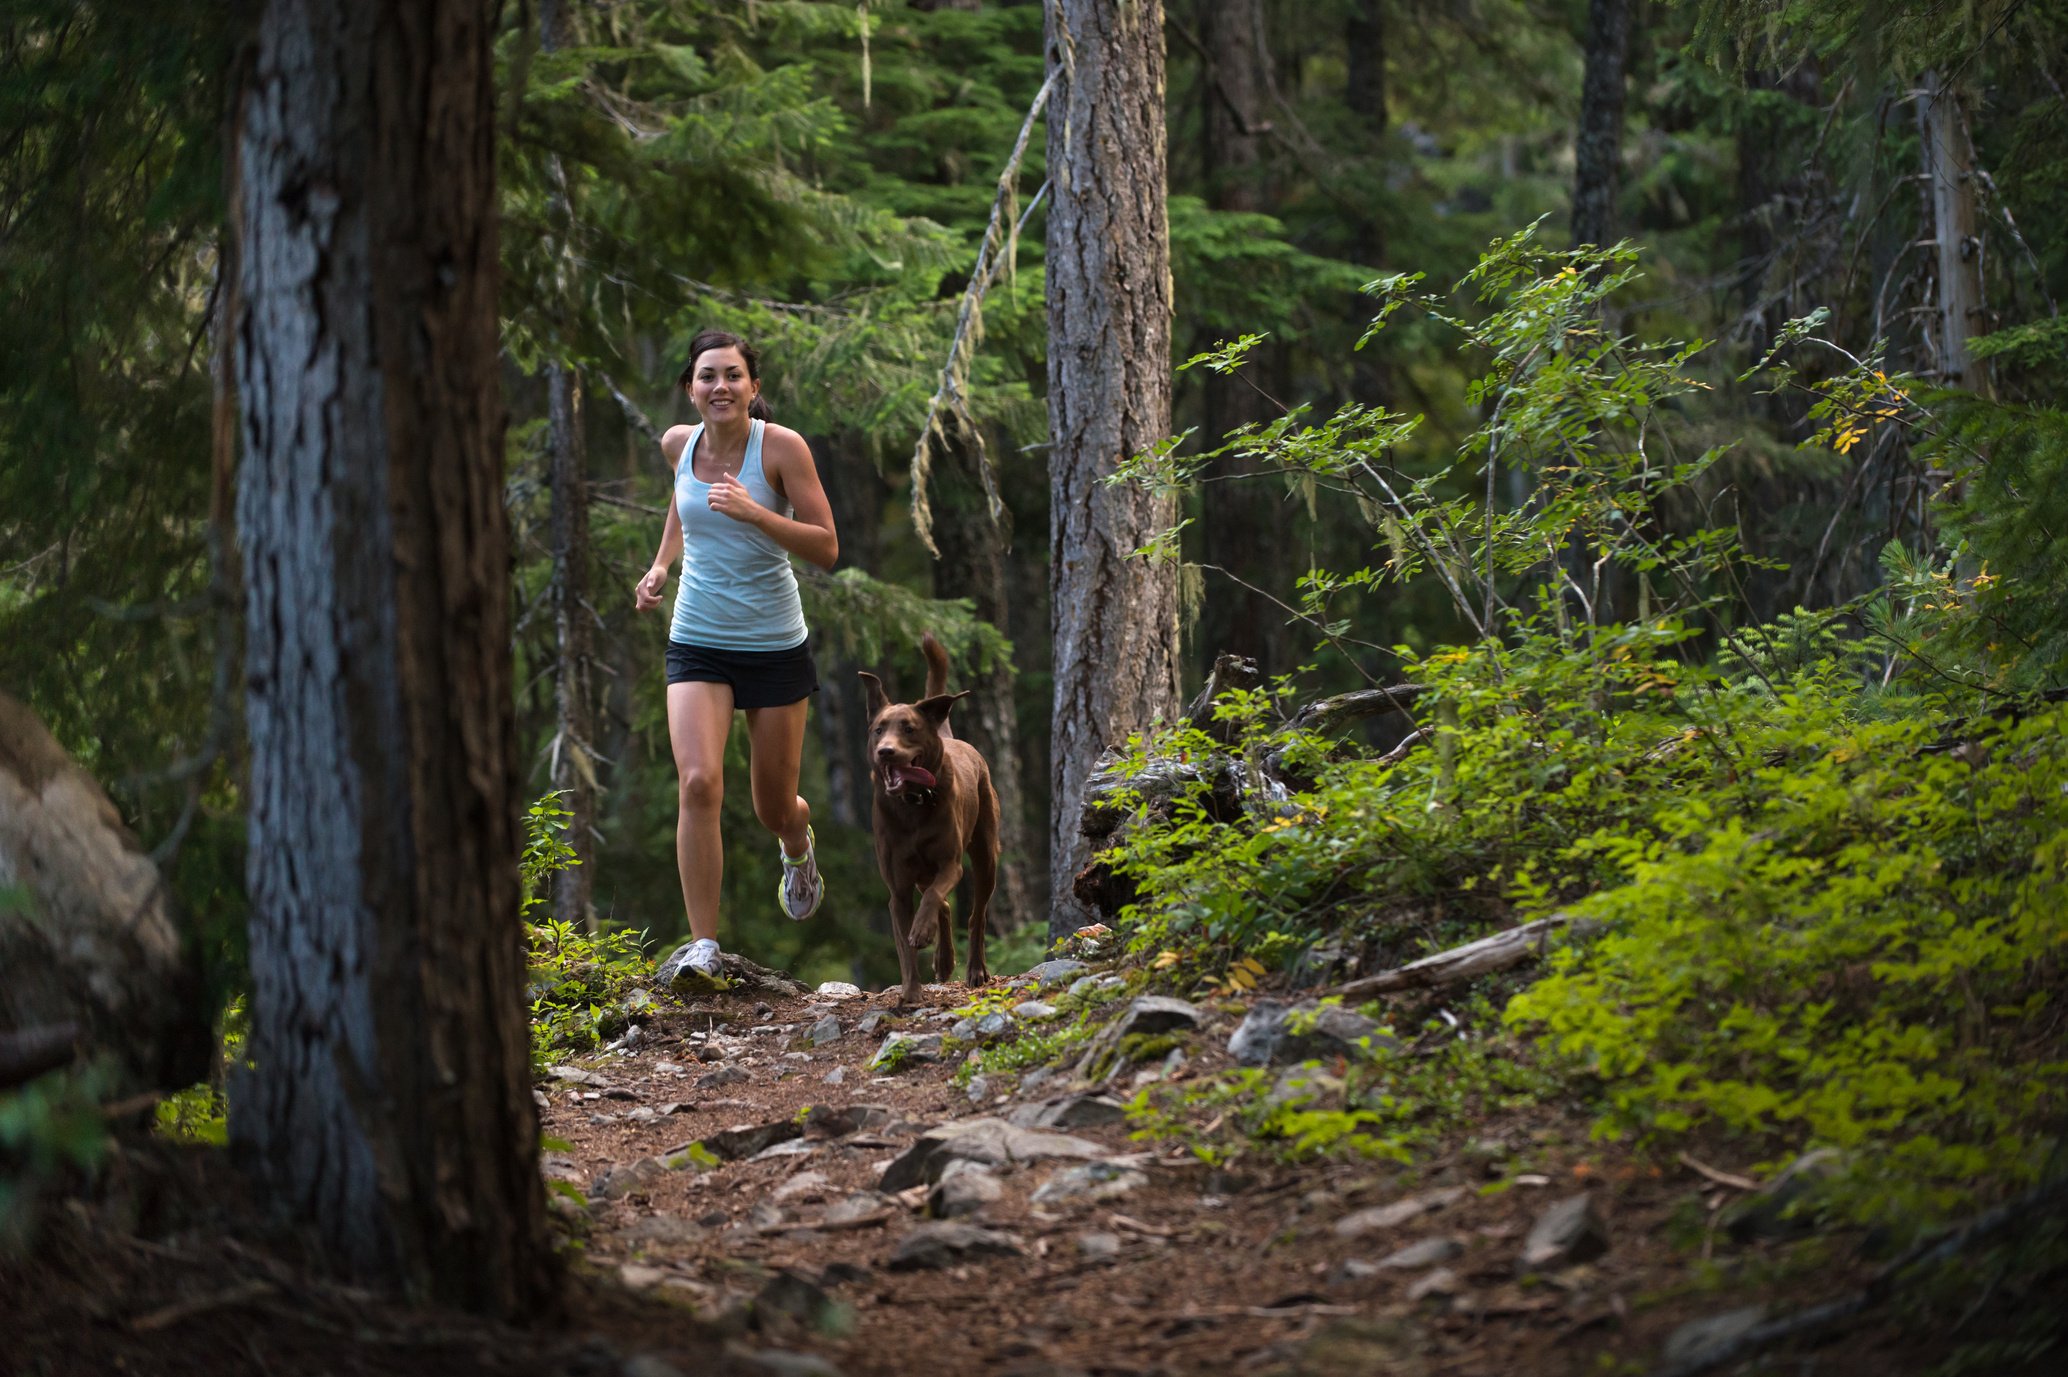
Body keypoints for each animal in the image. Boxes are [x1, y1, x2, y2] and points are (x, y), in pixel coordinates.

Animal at [856, 628, 1000, 996]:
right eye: (878, 729)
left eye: (909, 728)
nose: (886, 751)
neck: (912, 805)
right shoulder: (898, 888)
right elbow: (904, 948)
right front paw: (910, 993)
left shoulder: (950, 864)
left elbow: (936, 896)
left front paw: (922, 931)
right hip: (921, 873)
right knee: (946, 907)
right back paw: (944, 960)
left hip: (986, 855)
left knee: (975, 915)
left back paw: (975, 969)